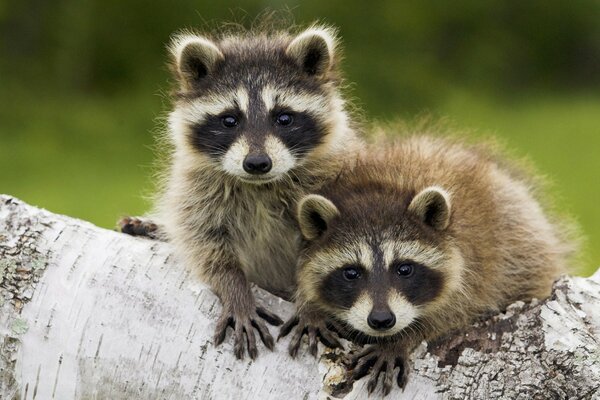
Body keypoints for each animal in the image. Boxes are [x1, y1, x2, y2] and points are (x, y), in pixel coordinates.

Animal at [119, 25, 360, 360]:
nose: (257, 163)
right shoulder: (197, 189)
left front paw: (311, 305)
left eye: (284, 118)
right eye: (229, 120)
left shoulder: (333, 181)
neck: (259, 186)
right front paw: (235, 289)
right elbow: (205, 243)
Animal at [278, 134, 576, 394]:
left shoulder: (476, 265)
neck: (380, 188)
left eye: (404, 269)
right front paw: (310, 306)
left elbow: (455, 311)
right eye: (351, 273)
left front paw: (402, 338)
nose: (382, 320)